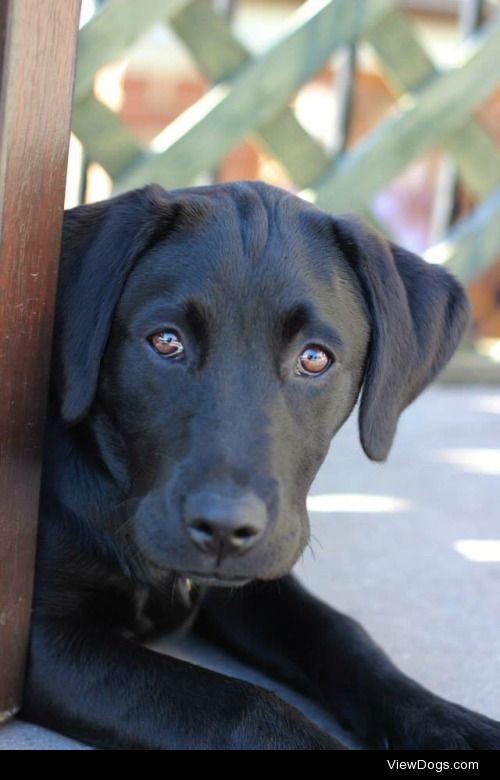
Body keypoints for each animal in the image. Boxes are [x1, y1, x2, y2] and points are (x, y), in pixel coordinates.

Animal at [22, 180, 500, 748]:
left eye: (314, 358)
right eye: (166, 341)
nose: (225, 528)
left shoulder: (254, 577)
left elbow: (342, 634)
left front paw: (448, 722)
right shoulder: (40, 638)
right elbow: (241, 704)